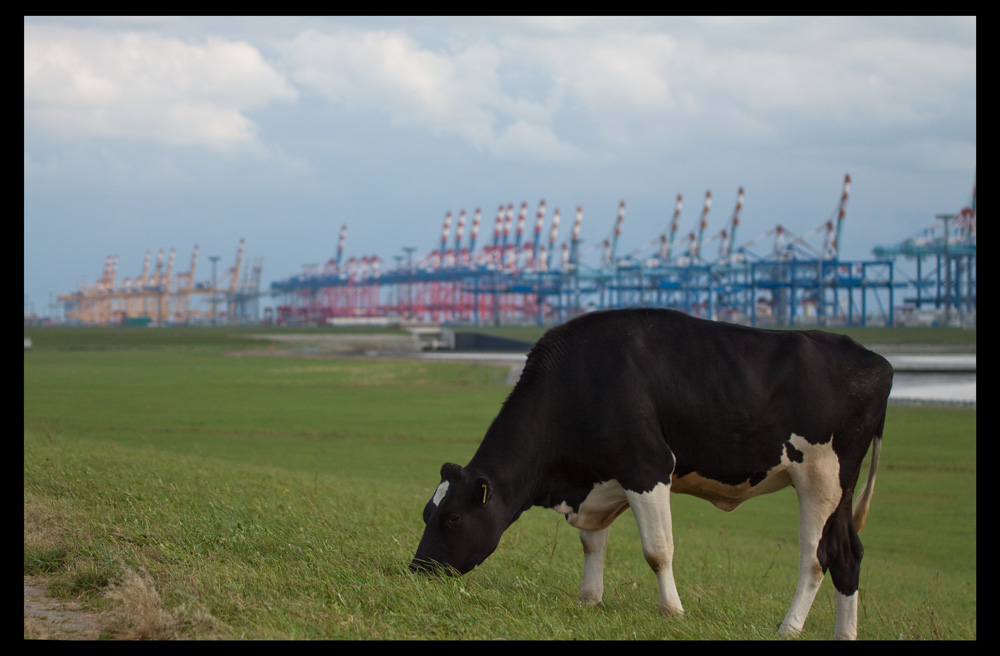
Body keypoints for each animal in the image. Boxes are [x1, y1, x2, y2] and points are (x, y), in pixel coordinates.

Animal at [410, 308, 896, 640]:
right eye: (426, 513)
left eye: (452, 517)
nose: (417, 570)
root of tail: (880, 362)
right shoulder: (601, 480)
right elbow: (592, 544)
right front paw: (589, 599)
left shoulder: (648, 467)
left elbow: (657, 550)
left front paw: (672, 611)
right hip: (842, 488)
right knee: (848, 553)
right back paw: (844, 634)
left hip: (821, 477)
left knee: (817, 555)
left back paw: (789, 626)